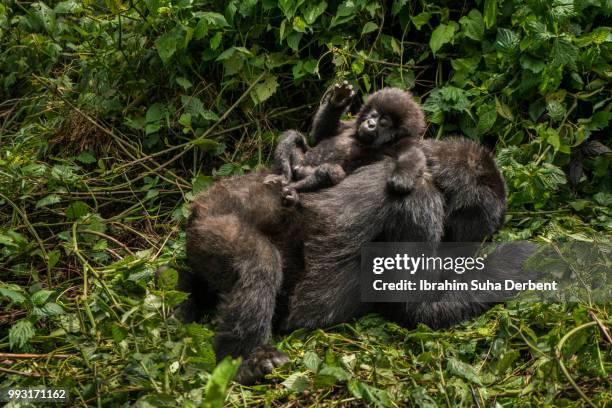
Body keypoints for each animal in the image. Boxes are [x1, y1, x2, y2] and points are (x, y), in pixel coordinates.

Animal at [266, 81, 428, 204]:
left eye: (383, 122)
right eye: (373, 115)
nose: (370, 123)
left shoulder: (403, 142)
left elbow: (412, 155)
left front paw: (402, 177)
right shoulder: (351, 125)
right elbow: (321, 134)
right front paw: (339, 100)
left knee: (330, 172)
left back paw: (294, 191)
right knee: (293, 138)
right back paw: (283, 177)